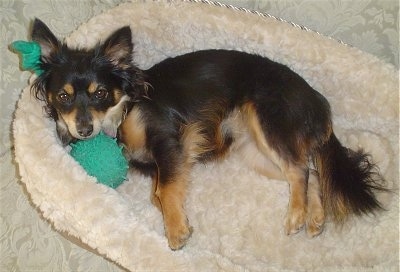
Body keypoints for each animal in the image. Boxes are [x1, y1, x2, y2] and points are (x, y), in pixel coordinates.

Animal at [29, 18, 386, 250]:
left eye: (100, 93)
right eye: (63, 97)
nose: (84, 129)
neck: (122, 110)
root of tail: (318, 103)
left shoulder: (167, 141)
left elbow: (163, 191)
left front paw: (175, 231)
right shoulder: (163, 160)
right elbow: (160, 193)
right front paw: (179, 220)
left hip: (266, 121)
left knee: (300, 170)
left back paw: (296, 215)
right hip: (255, 153)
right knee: (310, 172)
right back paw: (314, 218)